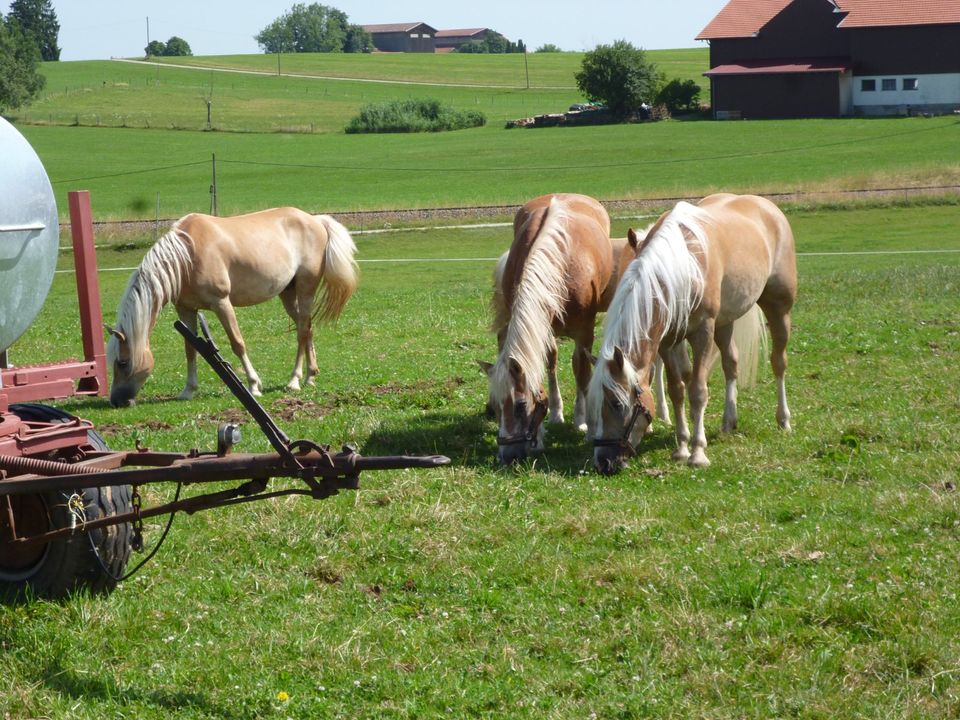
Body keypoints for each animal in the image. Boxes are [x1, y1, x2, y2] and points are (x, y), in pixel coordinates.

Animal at [105, 210, 358, 410]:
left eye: (123, 362)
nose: (116, 401)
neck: (186, 255)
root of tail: (316, 220)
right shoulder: (185, 310)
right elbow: (190, 349)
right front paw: (188, 390)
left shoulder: (221, 303)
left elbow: (237, 343)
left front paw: (254, 385)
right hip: (287, 293)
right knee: (307, 328)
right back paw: (310, 376)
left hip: (305, 289)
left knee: (303, 331)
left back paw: (294, 381)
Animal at [480, 194, 644, 464]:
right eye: (494, 406)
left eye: (520, 405)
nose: (507, 456)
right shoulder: (540, 327)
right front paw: (541, 434)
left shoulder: (584, 331)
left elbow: (582, 372)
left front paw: (585, 423)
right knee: (552, 362)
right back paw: (557, 412)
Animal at [588, 193, 800, 472]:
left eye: (616, 404)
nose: (603, 461)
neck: (681, 266)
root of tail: (766, 206)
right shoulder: (668, 341)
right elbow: (677, 390)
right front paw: (681, 447)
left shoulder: (702, 333)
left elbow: (698, 391)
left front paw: (698, 452)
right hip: (725, 323)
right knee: (731, 363)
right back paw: (728, 421)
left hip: (778, 308)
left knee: (779, 363)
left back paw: (783, 420)